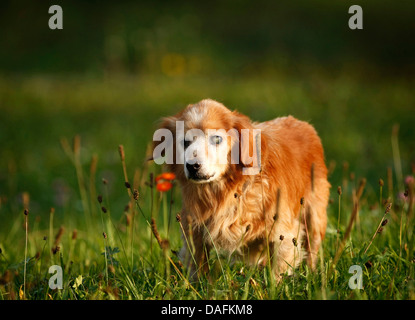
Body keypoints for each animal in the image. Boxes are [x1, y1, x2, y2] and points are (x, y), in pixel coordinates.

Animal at [153, 99, 332, 278]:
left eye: (216, 139)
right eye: (185, 142)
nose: (192, 166)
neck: (226, 191)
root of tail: (304, 124)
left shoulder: (283, 233)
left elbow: (277, 273)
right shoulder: (194, 232)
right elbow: (197, 268)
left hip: (314, 217)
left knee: (312, 248)